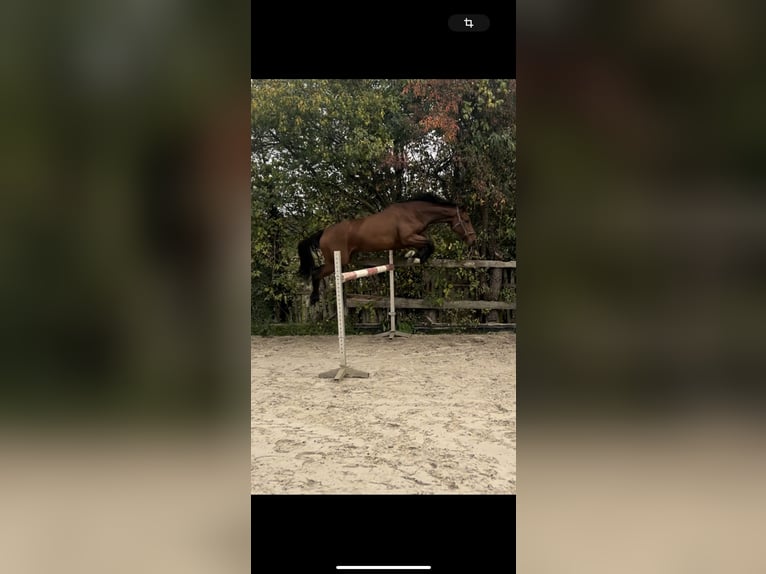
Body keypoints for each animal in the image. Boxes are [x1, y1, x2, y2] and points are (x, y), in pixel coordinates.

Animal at [298, 194, 477, 305]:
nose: (473, 240)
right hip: (337, 260)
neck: (414, 212)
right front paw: (417, 257)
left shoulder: (412, 238)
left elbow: (427, 244)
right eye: (467, 220)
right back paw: (313, 299)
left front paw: (413, 255)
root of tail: (324, 232)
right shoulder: (408, 237)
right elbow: (431, 243)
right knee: (316, 273)